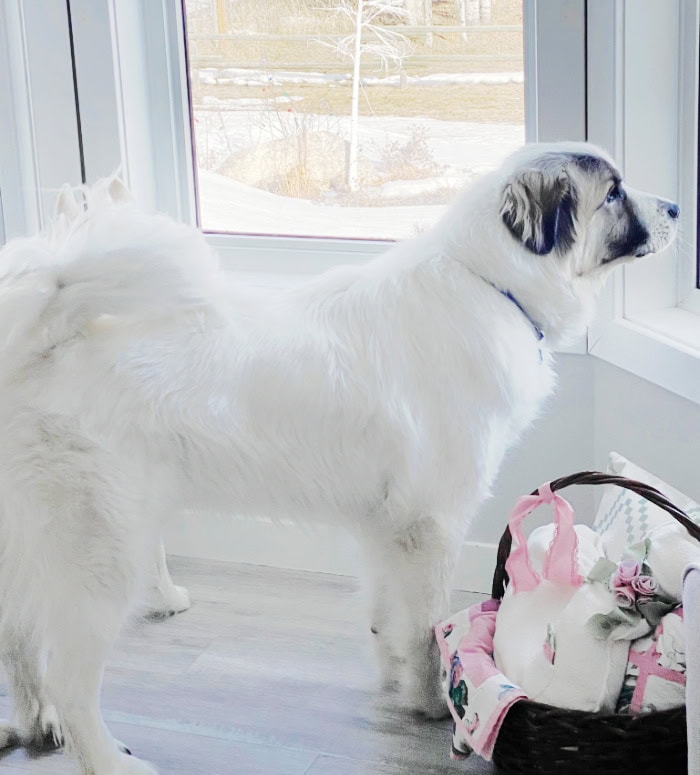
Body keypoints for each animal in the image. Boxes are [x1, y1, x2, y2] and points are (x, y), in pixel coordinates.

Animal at [0, 142, 680, 772]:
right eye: (613, 193)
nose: (676, 207)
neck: (490, 283)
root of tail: (42, 347)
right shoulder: (432, 526)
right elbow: (427, 630)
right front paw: (434, 703)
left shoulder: (388, 526)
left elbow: (388, 615)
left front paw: (393, 677)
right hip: (103, 560)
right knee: (68, 675)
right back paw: (106, 756)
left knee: (19, 643)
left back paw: (36, 725)